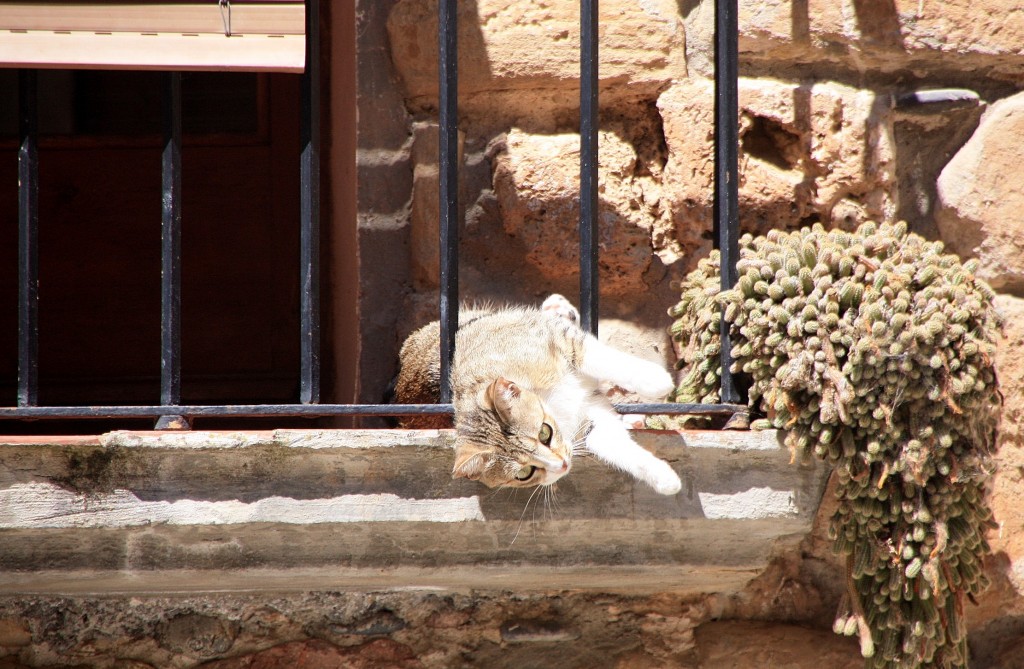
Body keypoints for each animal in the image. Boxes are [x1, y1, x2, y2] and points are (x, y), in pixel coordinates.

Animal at [395, 295, 684, 493]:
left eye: (545, 433)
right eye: (525, 473)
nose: (562, 466)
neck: (550, 402)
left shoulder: (558, 341)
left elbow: (598, 357)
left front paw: (657, 380)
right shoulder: (591, 418)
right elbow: (613, 445)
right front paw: (665, 479)